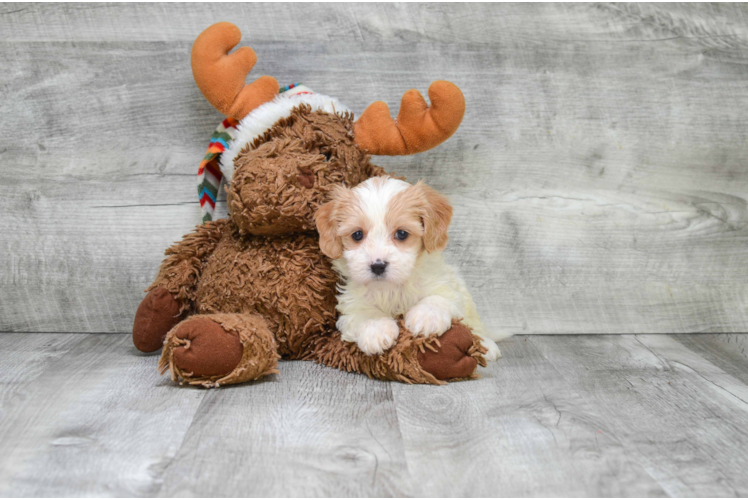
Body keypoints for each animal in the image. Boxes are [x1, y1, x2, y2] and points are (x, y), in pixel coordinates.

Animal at [316, 176, 502, 360]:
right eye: (357, 235)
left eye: (402, 234)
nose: (378, 266)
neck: (392, 288)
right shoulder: (352, 305)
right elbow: (364, 314)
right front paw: (376, 330)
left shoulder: (445, 286)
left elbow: (437, 298)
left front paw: (426, 317)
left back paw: (487, 345)